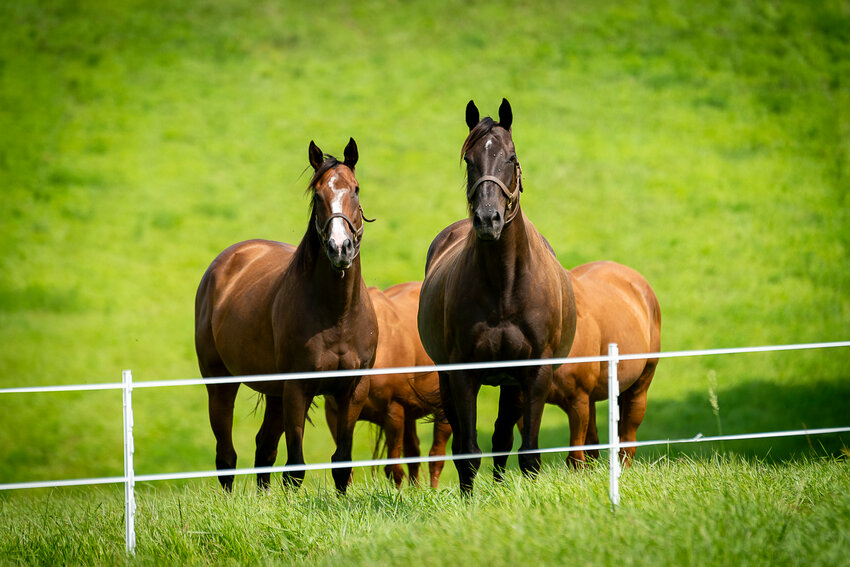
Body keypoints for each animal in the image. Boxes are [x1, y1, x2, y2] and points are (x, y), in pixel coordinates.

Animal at [195, 138, 378, 492]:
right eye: (318, 195)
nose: (340, 248)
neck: (338, 316)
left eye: (356, 189)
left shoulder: (352, 390)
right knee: (226, 456)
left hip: (274, 393)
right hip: (221, 384)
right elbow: (295, 469)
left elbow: (342, 464)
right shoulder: (297, 388)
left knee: (263, 449)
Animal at [418, 100, 576, 494]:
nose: (488, 219)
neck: (505, 287)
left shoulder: (535, 373)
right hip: (449, 379)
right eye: (469, 159)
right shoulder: (462, 374)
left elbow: (528, 452)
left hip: (512, 383)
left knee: (503, 437)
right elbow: (468, 451)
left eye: (511, 157)